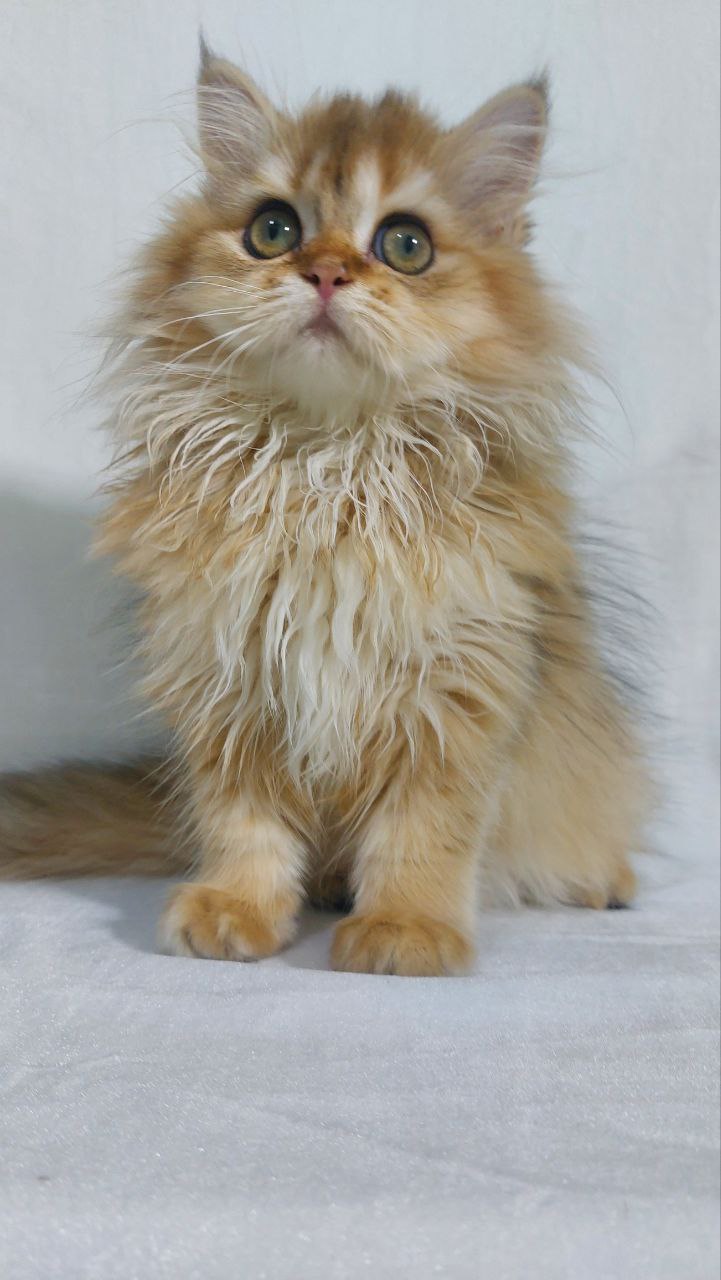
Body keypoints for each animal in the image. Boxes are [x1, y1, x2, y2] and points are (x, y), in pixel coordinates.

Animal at [0, 45, 648, 972]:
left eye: (405, 244)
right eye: (273, 230)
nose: (328, 271)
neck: (326, 470)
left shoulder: (458, 687)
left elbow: (425, 830)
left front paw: (407, 928)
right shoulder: (226, 677)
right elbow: (245, 825)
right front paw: (236, 908)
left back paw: (599, 880)